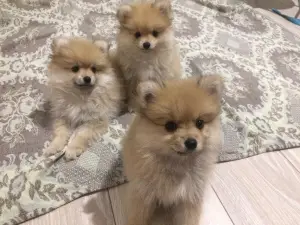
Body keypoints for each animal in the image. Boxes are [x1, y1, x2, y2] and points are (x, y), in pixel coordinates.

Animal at [122, 75, 223, 225]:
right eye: (170, 126)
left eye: (200, 123)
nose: (191, 142)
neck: (177, 164)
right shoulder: (142, 194)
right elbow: (137, 217)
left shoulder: (189, 196)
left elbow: (189, 219)